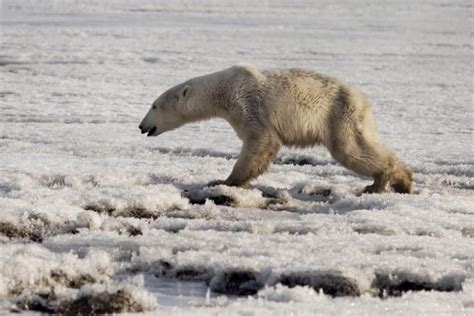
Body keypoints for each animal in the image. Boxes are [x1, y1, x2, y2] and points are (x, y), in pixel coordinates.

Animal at [139, 64, 412, 194]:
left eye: (154, 105)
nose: (142, 126)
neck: (223, 89)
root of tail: (363, 99)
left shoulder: (247, 104)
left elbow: (261, 140)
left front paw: (224, 180)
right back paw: (400, 181)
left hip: (339, 114)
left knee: (350, 150)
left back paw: (386, 181)